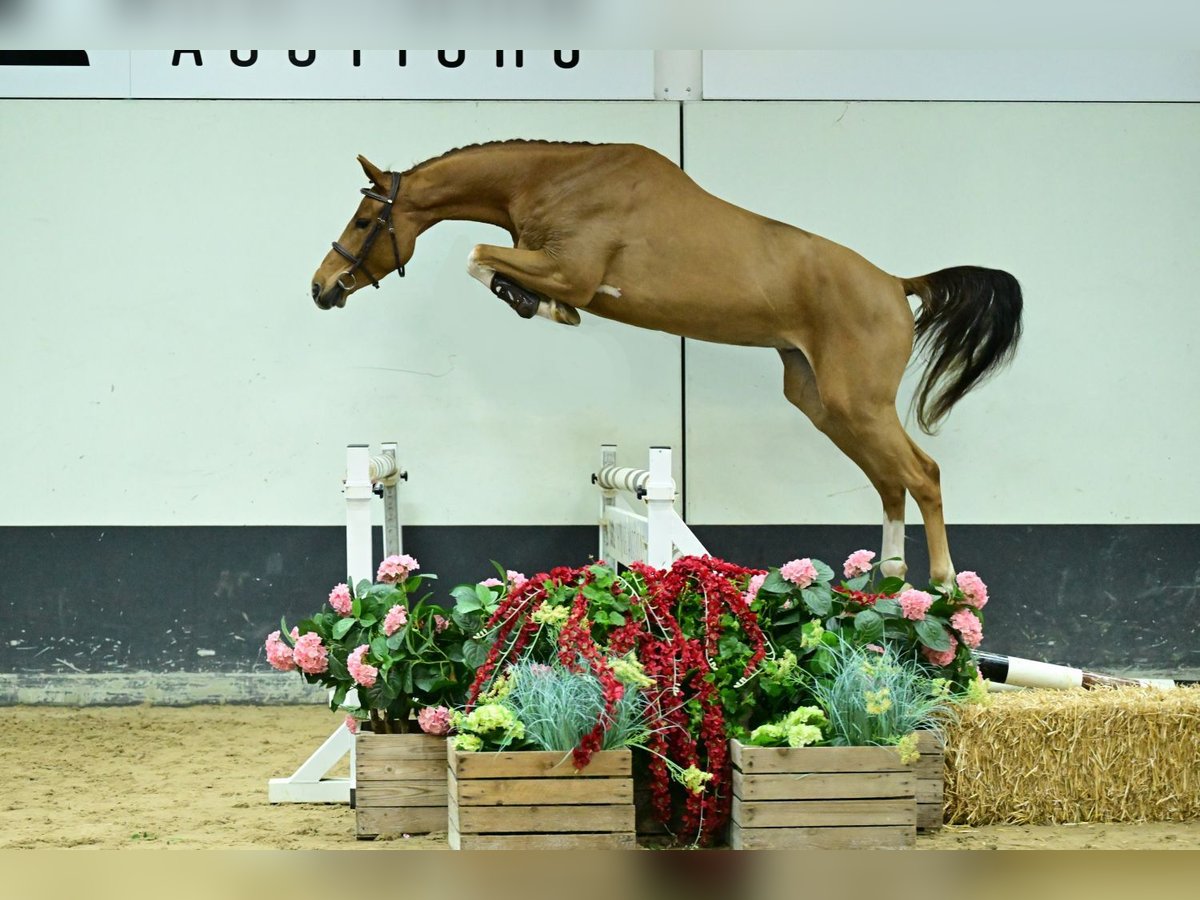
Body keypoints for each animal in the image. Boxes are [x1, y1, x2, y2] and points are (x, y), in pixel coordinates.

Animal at [310, 140, 1023, 588]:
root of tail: (897, 284)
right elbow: (485, 258)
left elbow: (480, 256)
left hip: (858, 403)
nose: (321, 288)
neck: (553, 180)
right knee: (889, 482)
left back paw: (944, 589)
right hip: (824, 405)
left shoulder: (569, 271)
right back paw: (893, 584)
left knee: (922, 475)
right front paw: (538, 305)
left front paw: (537, 304)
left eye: (366, 219)